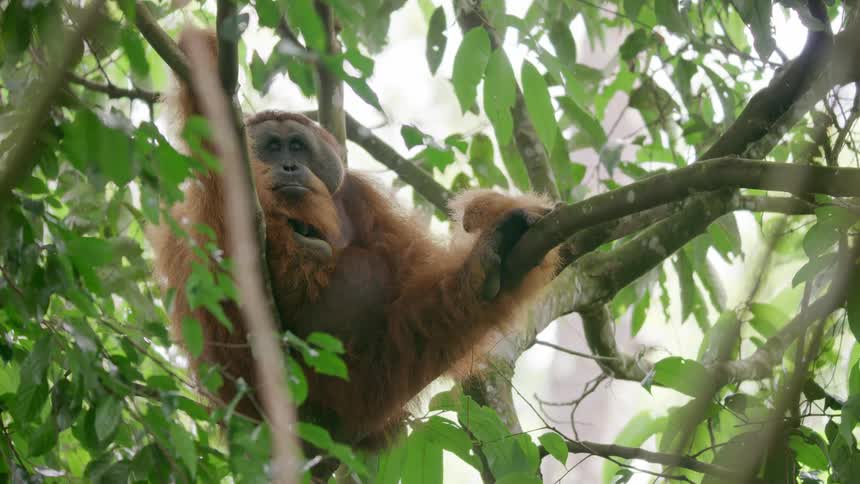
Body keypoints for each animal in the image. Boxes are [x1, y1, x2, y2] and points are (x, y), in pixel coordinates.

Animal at [149, 28, 560, 458]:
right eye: (271, 148)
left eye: (297, 146)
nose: (289, 166)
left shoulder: (362, 196)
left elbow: (406, 274)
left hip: (378, 374)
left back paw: (491, 260)